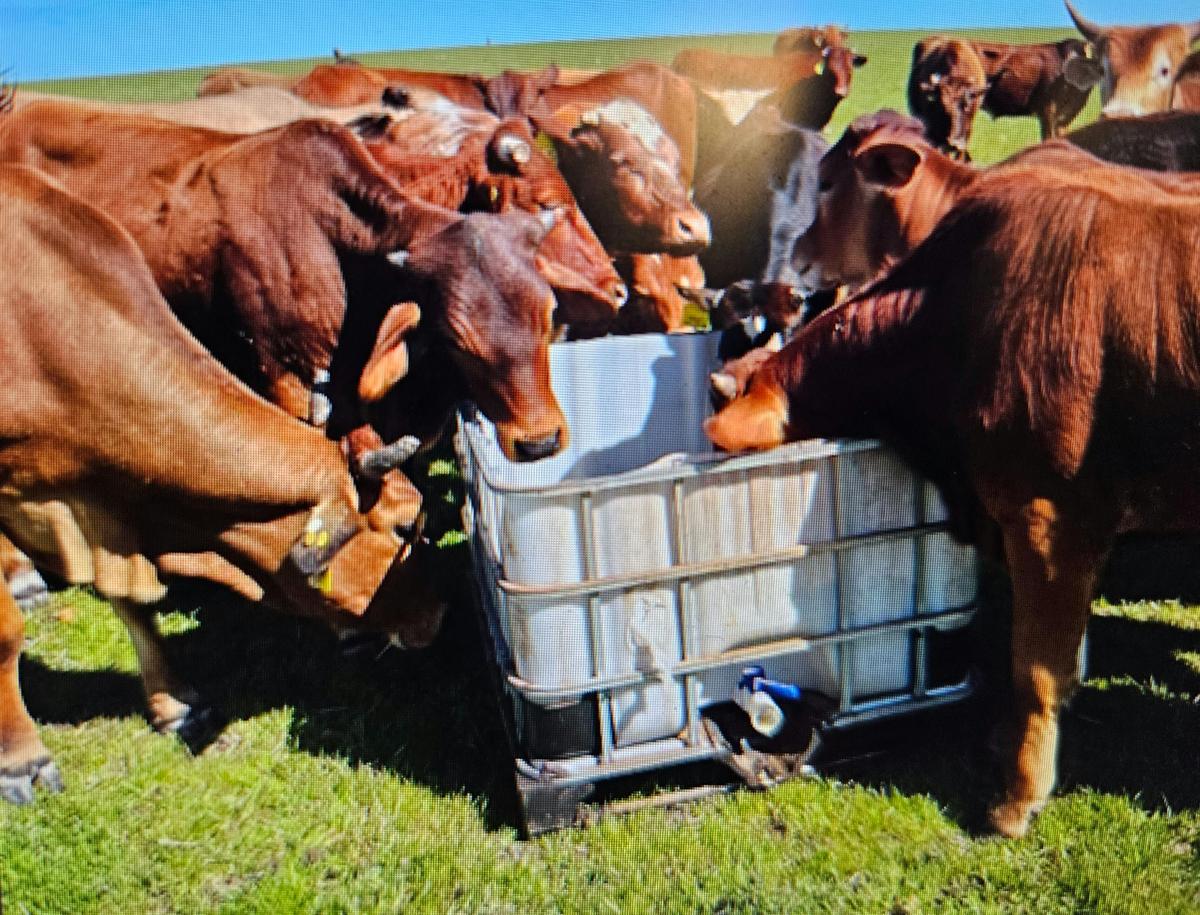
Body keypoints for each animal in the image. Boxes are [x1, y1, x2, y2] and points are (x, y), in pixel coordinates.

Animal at [0, 163, 445, 803]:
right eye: (407, 526)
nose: (440, 613)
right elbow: (7, 634)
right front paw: (21, 758)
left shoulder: (110, 507)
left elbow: (134, 602)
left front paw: (176, 705)